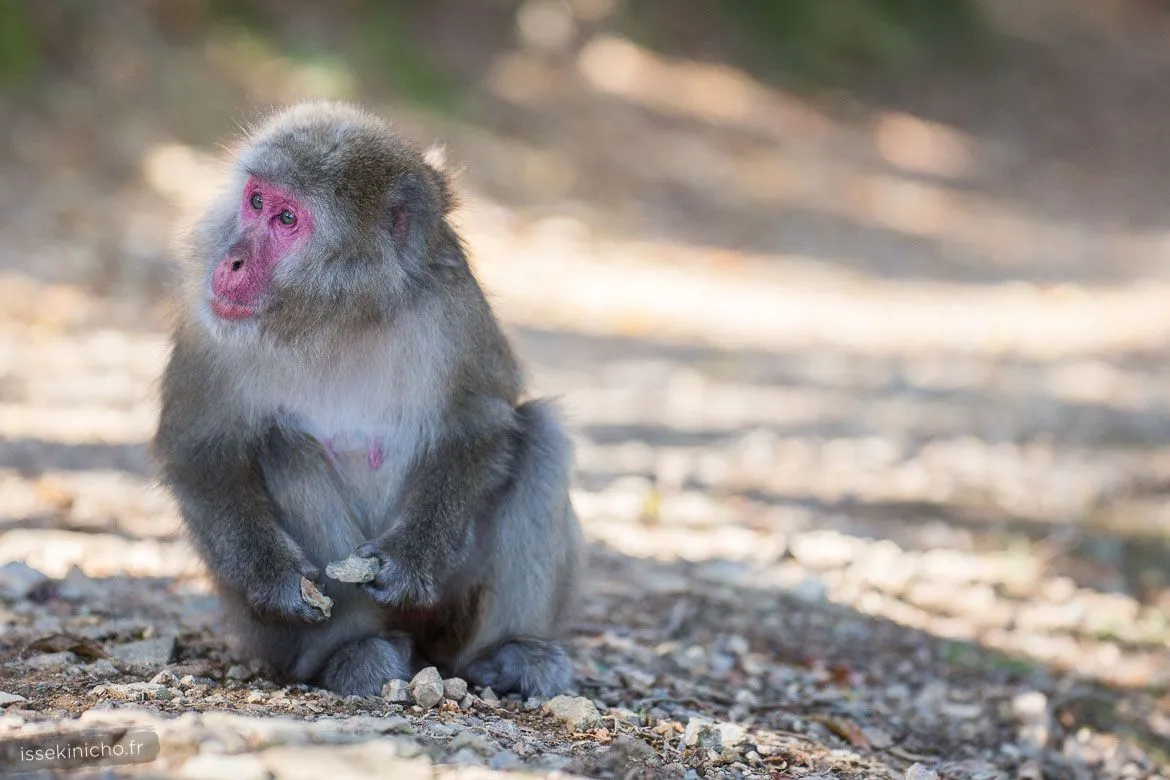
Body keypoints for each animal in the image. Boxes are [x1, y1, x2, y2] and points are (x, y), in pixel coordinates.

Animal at [152, 101, 582, 698]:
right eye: (255, 201)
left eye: (287, 219)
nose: (231, 261)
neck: (342, 316)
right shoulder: (206, 321)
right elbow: (198, 452)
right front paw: (274, 578)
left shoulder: (453, 306)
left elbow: (479, 423)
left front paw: (412, 559)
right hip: (264, 634)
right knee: (284, 447)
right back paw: (355, 650)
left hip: (451, 611)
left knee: (540, 433)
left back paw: (511, 652)